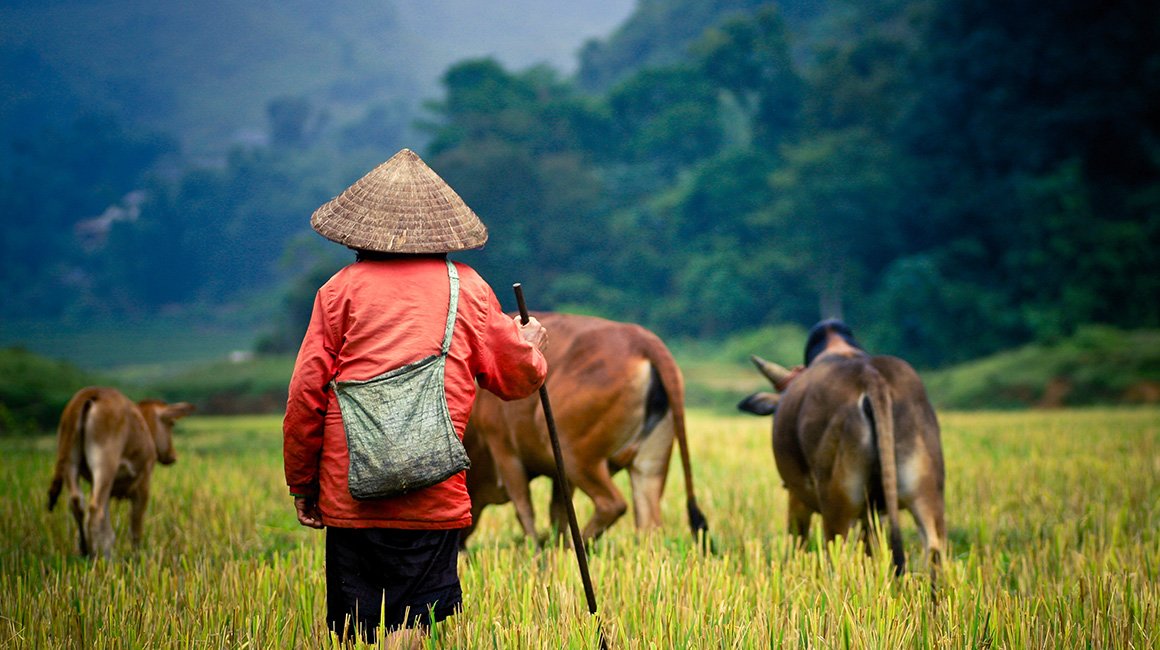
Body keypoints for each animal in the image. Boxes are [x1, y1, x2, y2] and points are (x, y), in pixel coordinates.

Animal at [46, 387, 192, 557]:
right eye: (171, 423)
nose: (173, 455)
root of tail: (92, 393)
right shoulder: (143, 483)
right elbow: (135, 528)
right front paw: (138, 556)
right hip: (105, 464)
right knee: (96, 510)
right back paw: (101, 556)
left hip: (69, 461)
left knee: (77, 502)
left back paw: (86, 550)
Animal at [461, 313, 705, 545]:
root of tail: (642, 341)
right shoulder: (559, 475)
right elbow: (558, 513)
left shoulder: (503, 448)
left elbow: (524, 509)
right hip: (649, 466)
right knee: (649, 526)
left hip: (575, 454)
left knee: (612, 504)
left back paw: (573, 547)